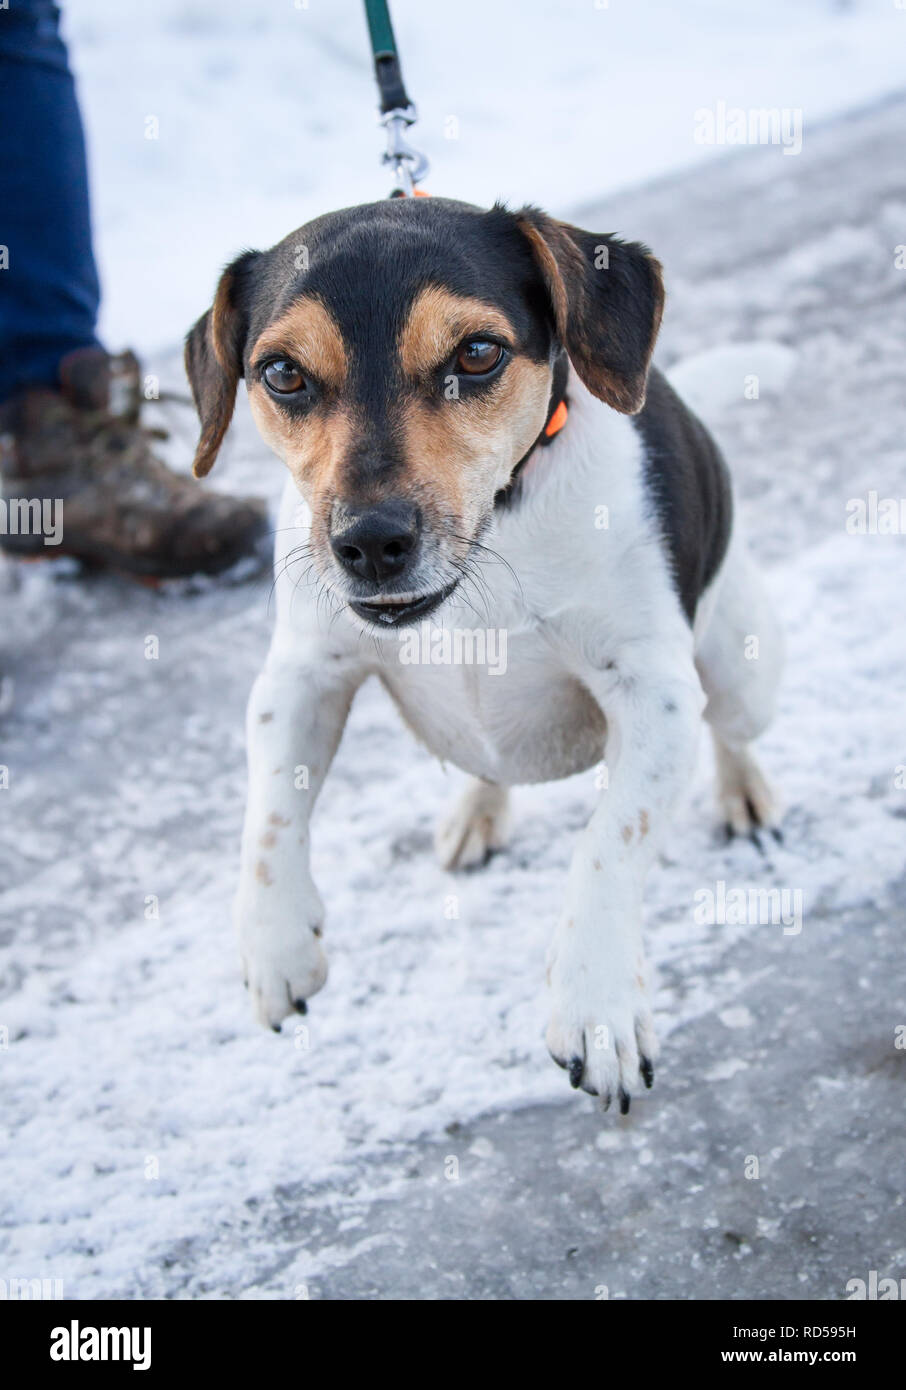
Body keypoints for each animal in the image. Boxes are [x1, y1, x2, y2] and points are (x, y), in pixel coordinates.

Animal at [183, 195, 778, 1112]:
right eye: (281, 373)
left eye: (477, 352)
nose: (371, 543)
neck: (497, 531)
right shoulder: (300, 676)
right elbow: (270, 818)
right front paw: (276, 948)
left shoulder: (655, 696)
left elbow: (611, 839)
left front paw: (596, 1004)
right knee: (484, 765)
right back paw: (476, 812)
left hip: (746, 671)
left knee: (733, 730)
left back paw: (743, 792)